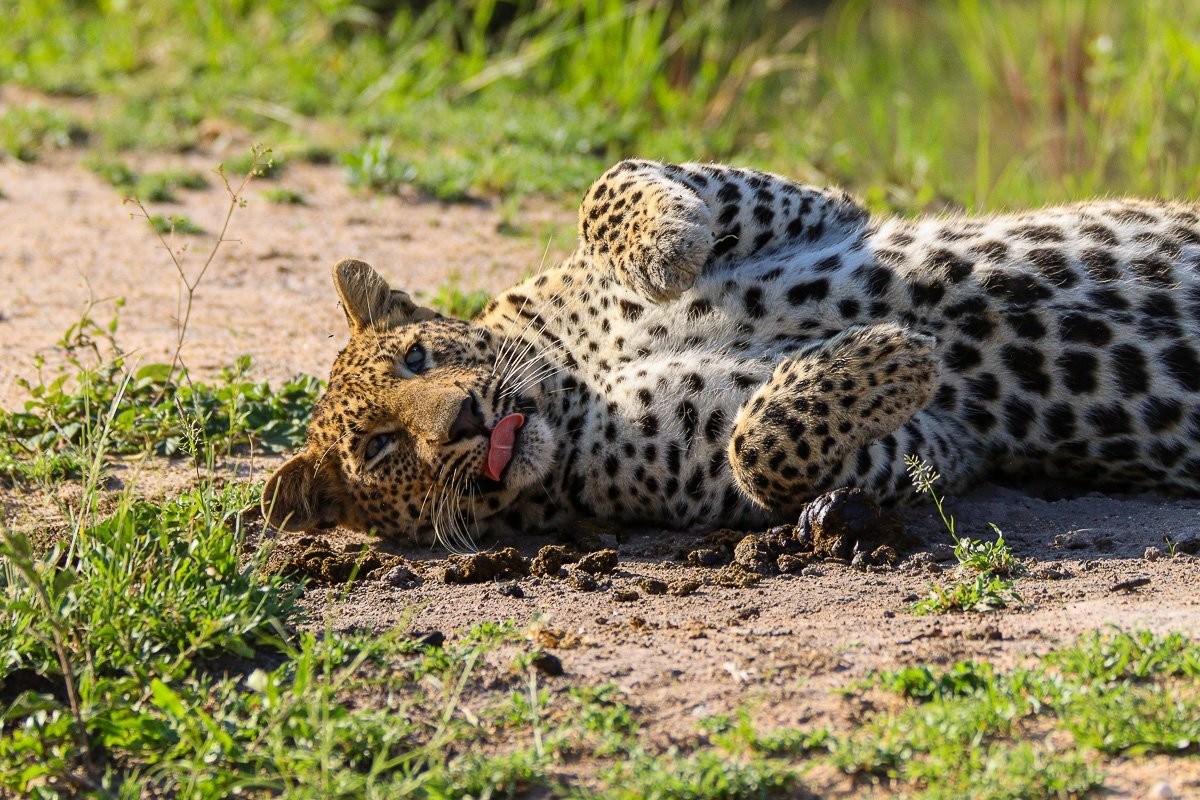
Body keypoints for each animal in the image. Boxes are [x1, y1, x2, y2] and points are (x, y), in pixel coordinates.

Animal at [263, 158, 1200, 546]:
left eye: (420, 356)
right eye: (379, 448)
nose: (461, 417)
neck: (573, 376)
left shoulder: (816, 204)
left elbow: (611, 182)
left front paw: (667, 251)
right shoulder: (933, 447)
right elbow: (761, 445)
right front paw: (893, 353)